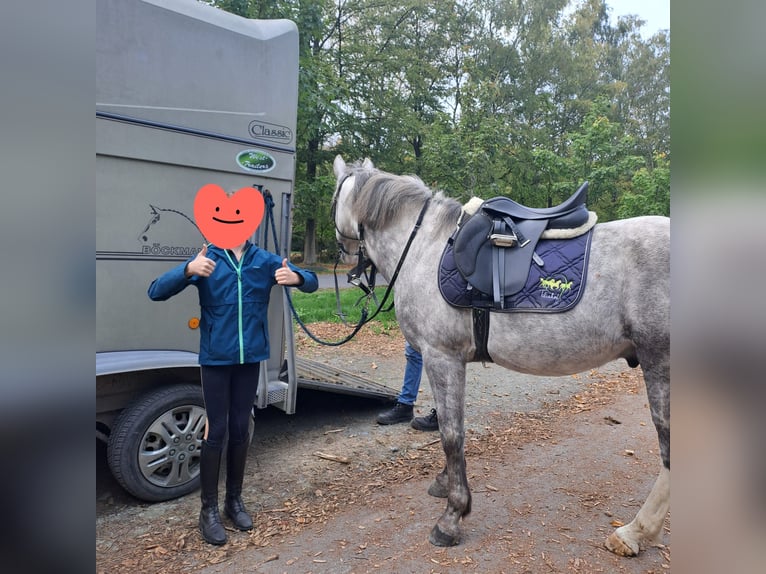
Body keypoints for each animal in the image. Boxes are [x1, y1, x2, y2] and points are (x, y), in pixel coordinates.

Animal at [331, 155, 670, 557]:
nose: (345, 258)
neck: (424, 247)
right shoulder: (447, 359)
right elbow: (451, 425)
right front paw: (445, 483)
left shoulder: (441, 356)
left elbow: (451, 434)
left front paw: (452, 515)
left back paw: (633, 532)